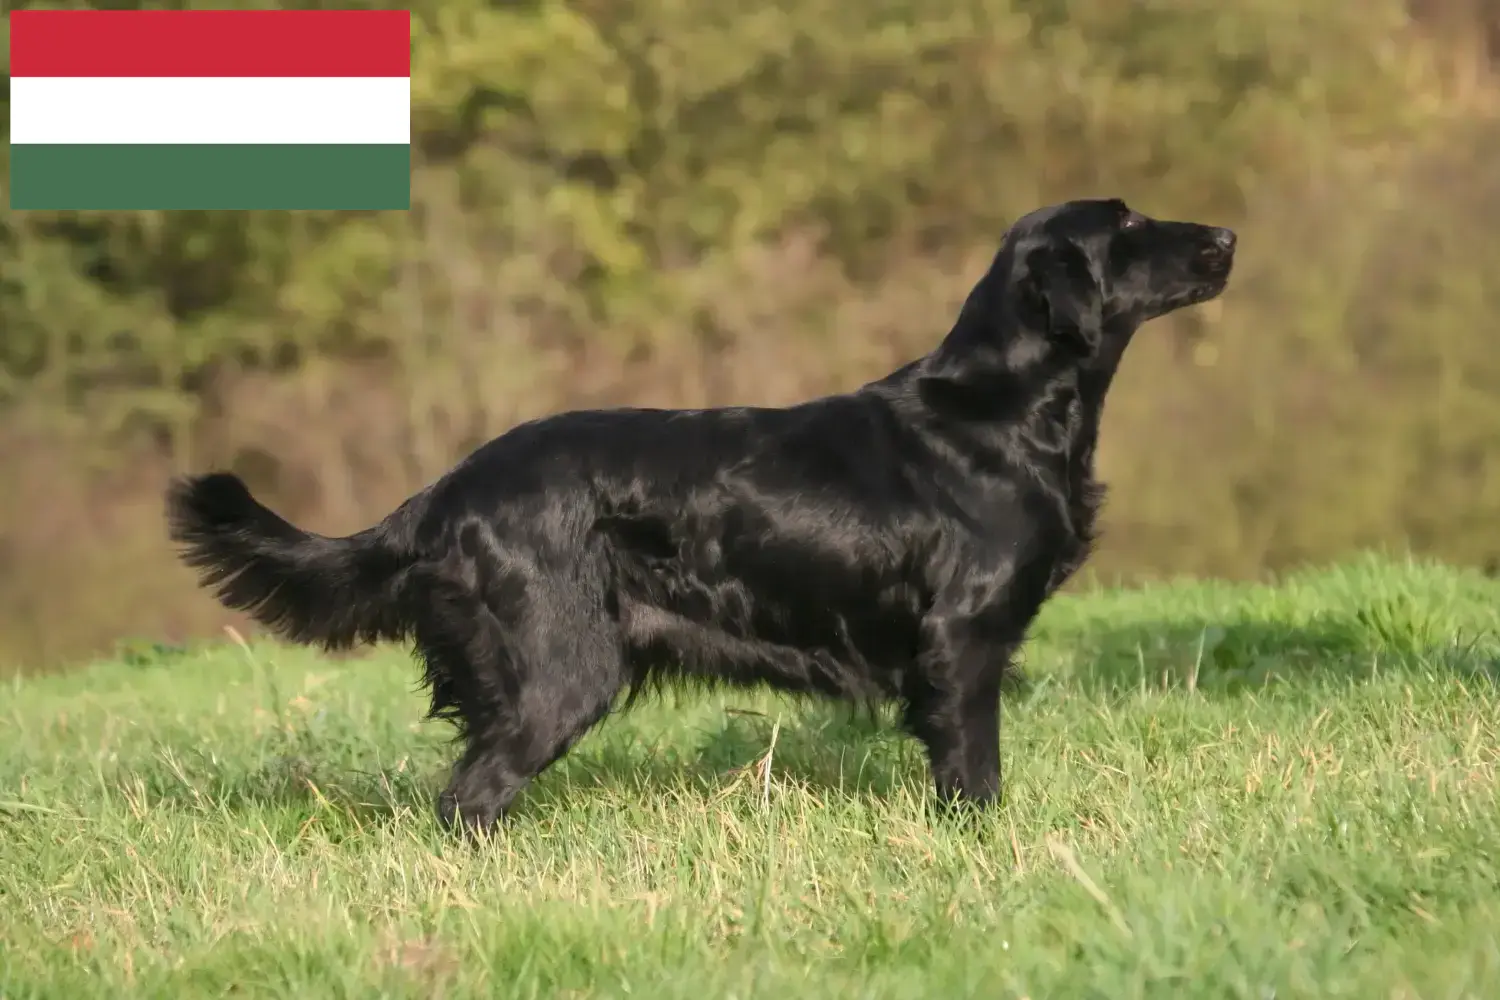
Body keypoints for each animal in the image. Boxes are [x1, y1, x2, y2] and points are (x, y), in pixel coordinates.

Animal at [170, 199, 1236, 833]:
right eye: (1126, 225)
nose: (1227, 235)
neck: (1000, 408)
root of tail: (446, 491)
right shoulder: (964, 640)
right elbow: (973, 770)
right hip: (562, 670)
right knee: (467, 795)